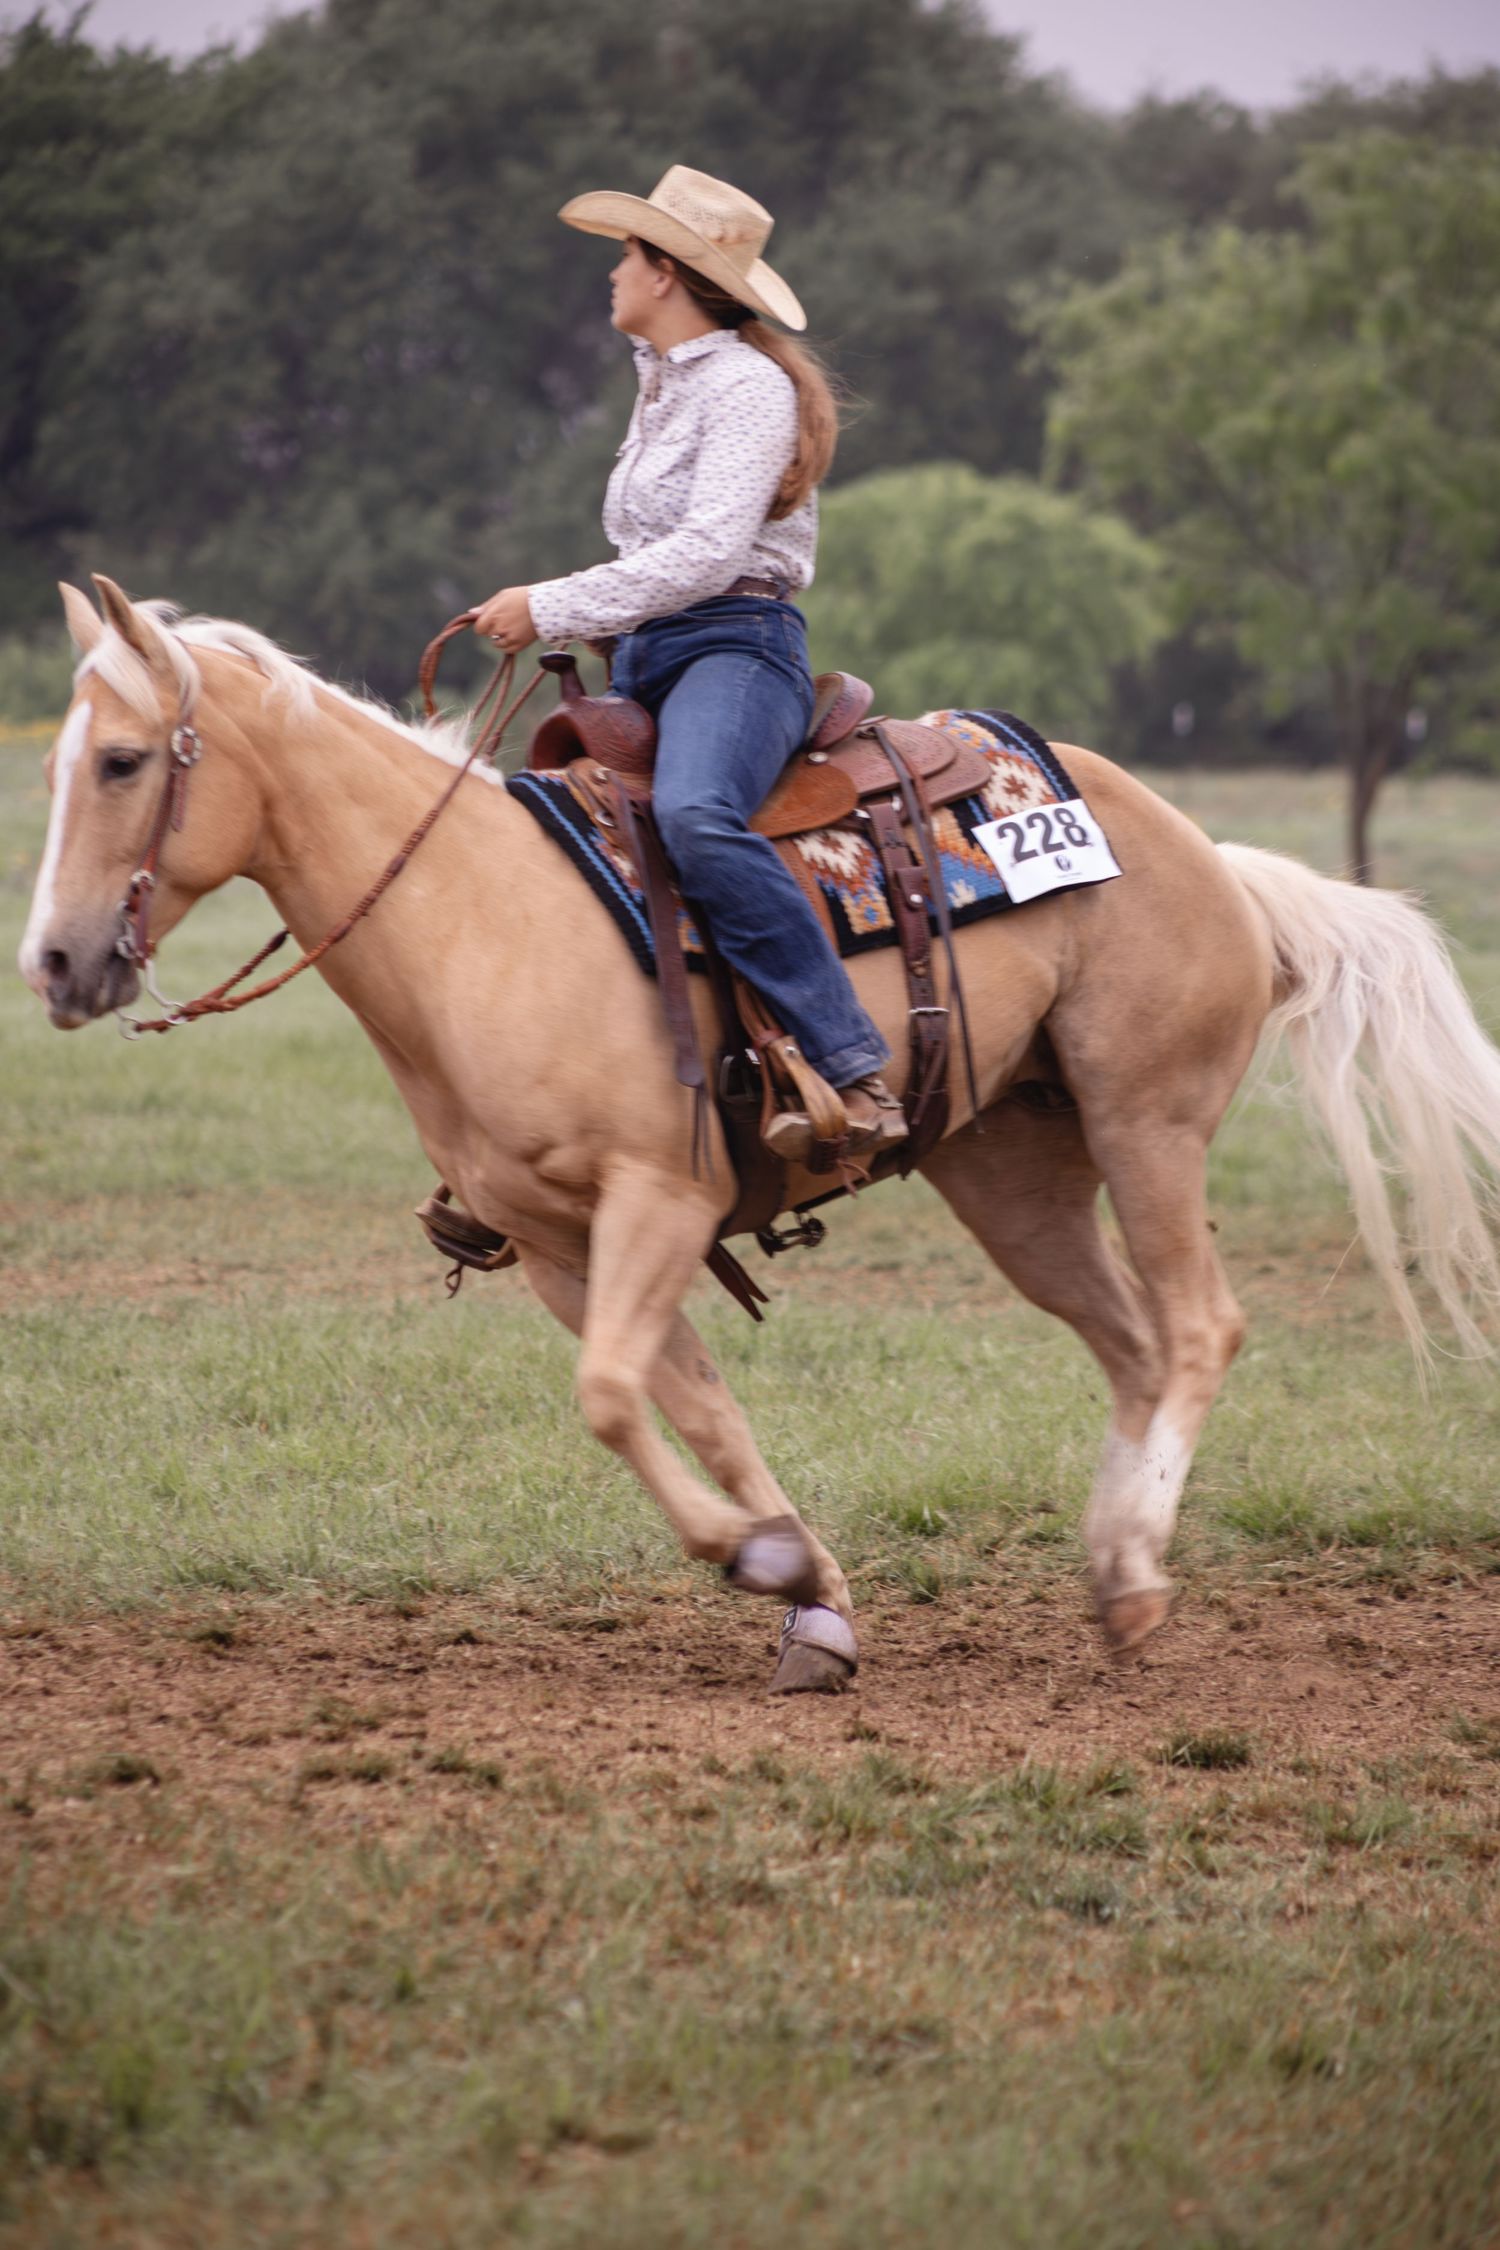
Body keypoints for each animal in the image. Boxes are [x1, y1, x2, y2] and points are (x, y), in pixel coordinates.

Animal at [19, 575, 1500, 1692]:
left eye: (124, 760)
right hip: (1015, 1178)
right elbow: (694, 1412)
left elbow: (615, 1399)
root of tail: (1210, 858)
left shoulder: (658, 1202)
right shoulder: (562, 1250)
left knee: (1199, 1328)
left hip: (1150, 1124)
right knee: (1133, 1346)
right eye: (59, 761)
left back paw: (1135, 1575)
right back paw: (1112, 1565)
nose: (55, 963)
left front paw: (761, 1560)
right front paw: (811, 1595)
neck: (479, 915)